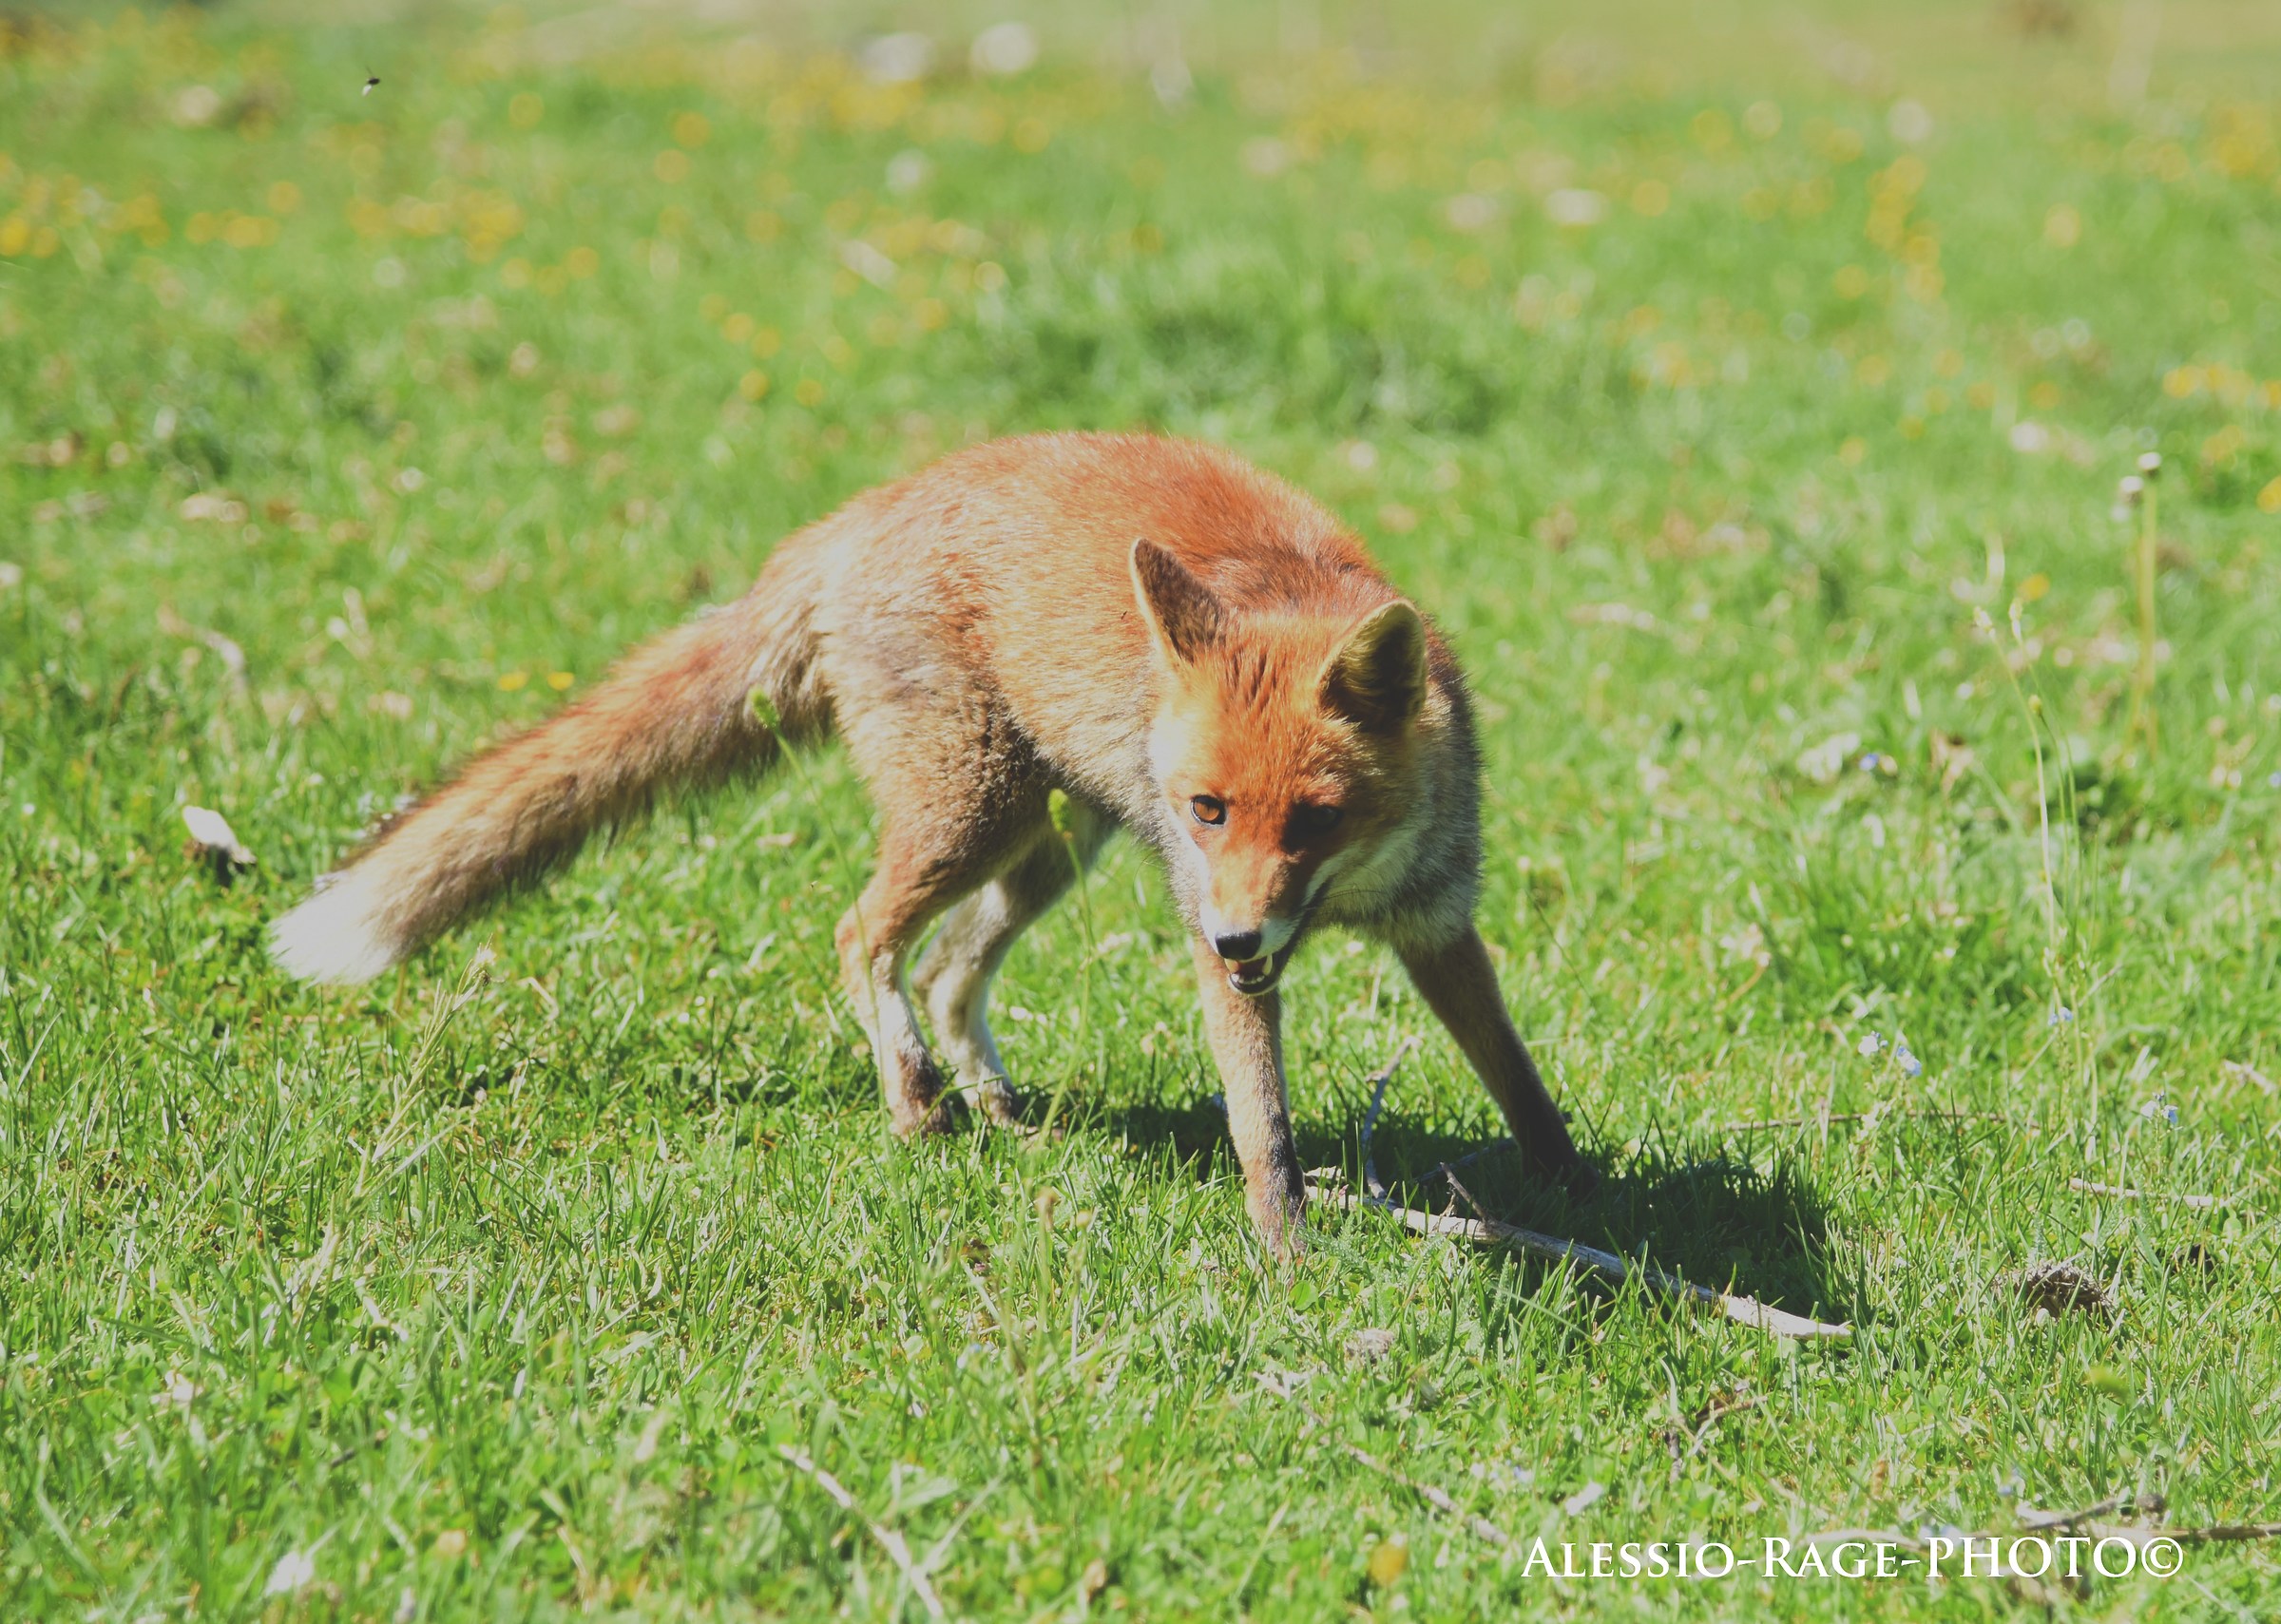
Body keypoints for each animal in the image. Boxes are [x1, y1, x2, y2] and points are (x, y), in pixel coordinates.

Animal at [271, 432, 1593, 1255]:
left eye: (1314, 819)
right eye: (1210, 809)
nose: (1229, 936)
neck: (1352, 890)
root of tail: (847, 518)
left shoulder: (1437, 922)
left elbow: (1516, 1072)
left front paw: (1576, 1185)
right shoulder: (1219, 933)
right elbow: (1260, 1124)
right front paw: (1288, 1261)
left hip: (1047, 844)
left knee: (954, 966)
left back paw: (997, 1105)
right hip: (975, 813)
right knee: (863, 933)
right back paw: (916, 1104)